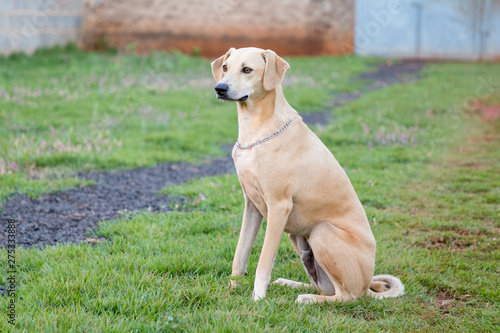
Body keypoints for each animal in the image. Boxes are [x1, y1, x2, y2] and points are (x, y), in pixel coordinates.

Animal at [210, 47, 402, 304]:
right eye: (225, 67)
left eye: (247, 69)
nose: (219, 88)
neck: (257, 131)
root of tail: (367, 287)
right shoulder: (251, 205)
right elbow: (240, 255)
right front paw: (231, 290)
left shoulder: (278, 207)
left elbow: (264, 261)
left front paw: (257, 298)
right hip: (299, 240)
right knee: (325, 287)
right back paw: (290, 284)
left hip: (322, 232)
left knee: (345, 296)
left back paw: (307, 298)